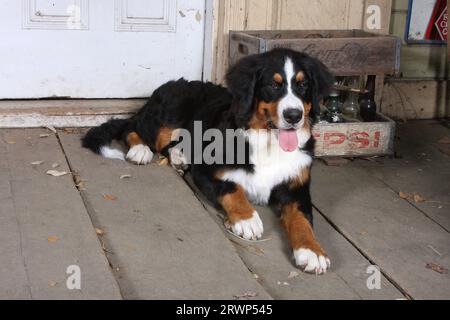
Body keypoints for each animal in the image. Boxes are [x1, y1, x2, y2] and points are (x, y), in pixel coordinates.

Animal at [82, 48, 332, 274]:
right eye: (274, 85)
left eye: (303, 85)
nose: (294, 115)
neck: (268, 142)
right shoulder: (205, 171)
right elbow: (232, 189)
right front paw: (248, 219)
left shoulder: (297, 188)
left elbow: (302, 218)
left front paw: (312, 251)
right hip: (168, 119)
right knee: (133, 128)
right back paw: (140, 150)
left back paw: (179, 156)